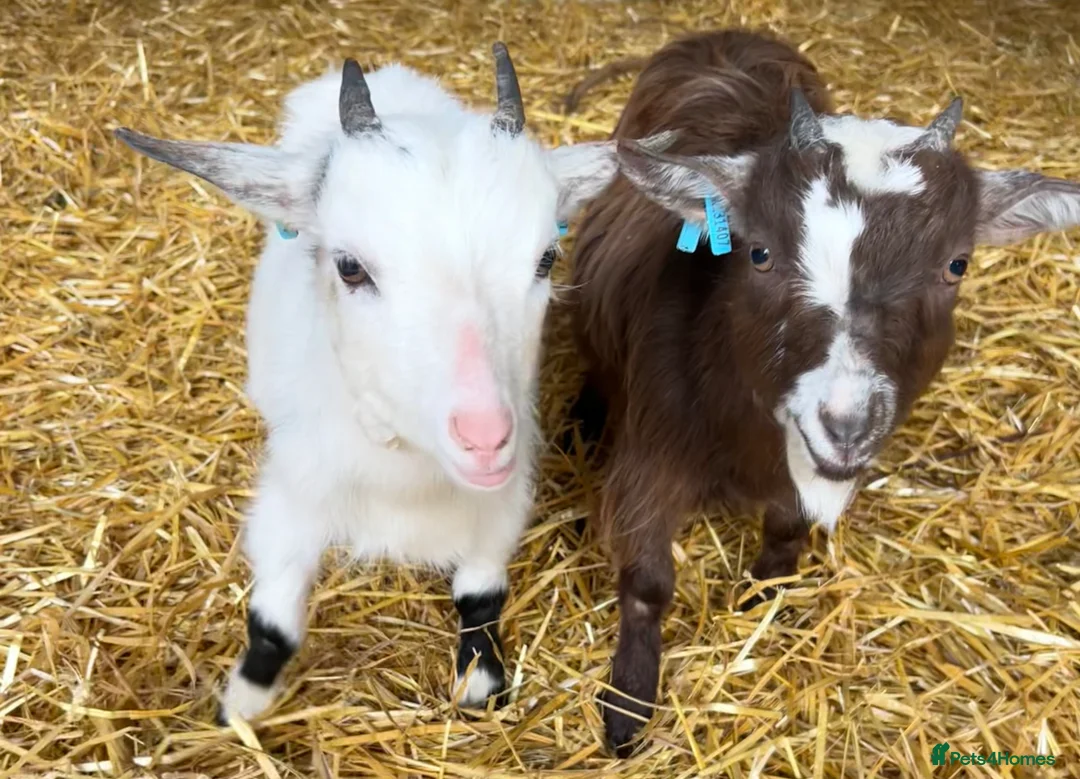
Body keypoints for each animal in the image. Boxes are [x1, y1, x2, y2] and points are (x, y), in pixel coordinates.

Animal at [116, 43, 626, 722]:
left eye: (546, 259)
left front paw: (481, 680)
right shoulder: (289, 498)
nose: (485, 439)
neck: (405, 478)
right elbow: (273, 624)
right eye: (350, 268)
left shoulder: (504, 501)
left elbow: (481, 593)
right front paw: (241, 707)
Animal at [568, 29, 1080, 754]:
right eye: (758, 252)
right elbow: (647, 582)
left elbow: (787, 531)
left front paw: (764, 596)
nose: (847, 421)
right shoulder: (652, 453)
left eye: (956, 264)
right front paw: (627, 708)